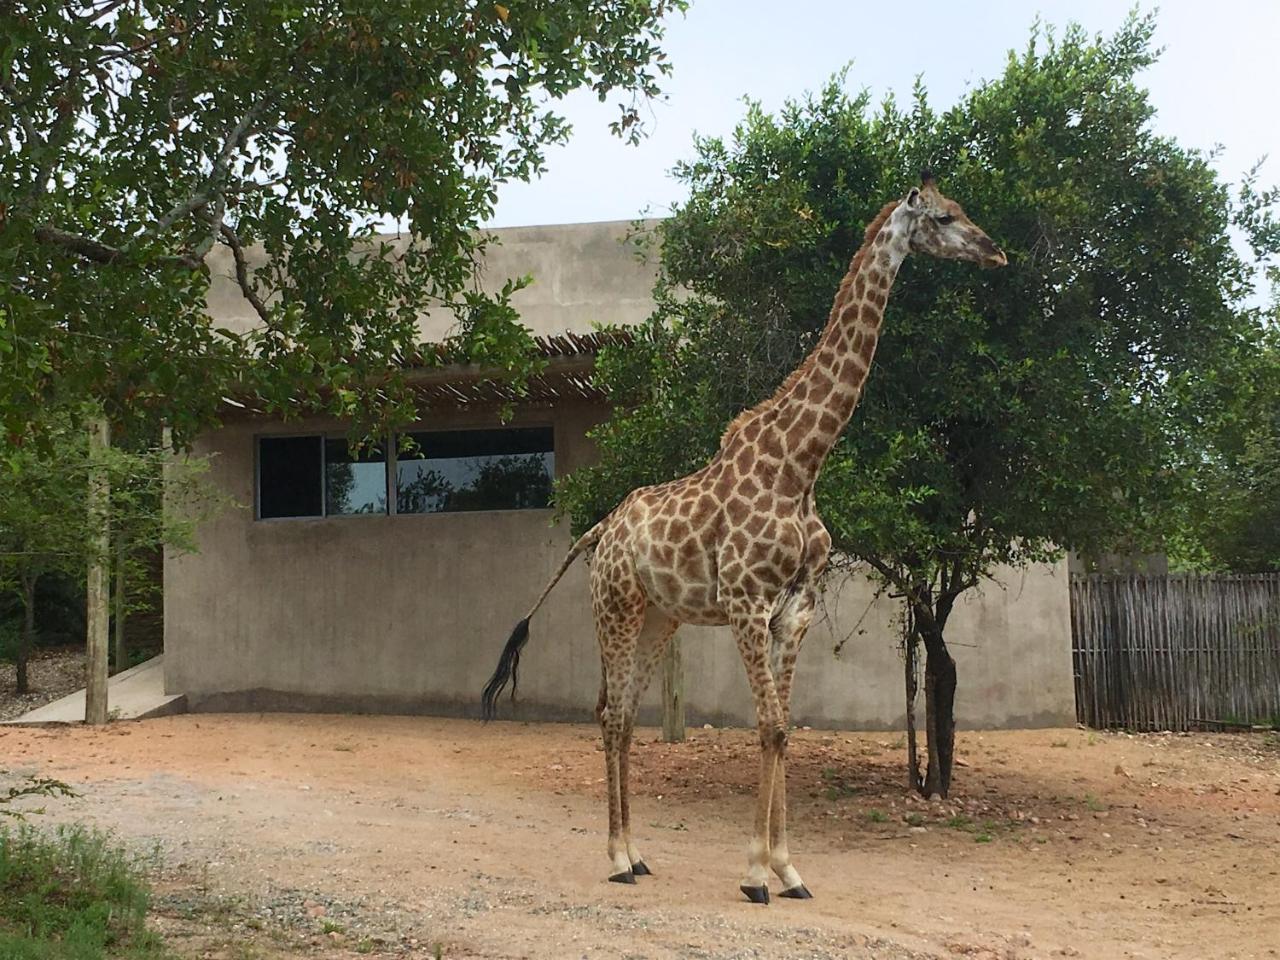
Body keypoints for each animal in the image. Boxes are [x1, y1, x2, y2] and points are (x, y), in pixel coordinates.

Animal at [483, 171, 1003, 901]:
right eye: (946, 217)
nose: (996, 253)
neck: (801, 464)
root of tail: (599, 531)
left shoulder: (794, 610)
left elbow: (782, 730)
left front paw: (788, 870)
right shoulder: (746, 604)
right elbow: (770, 724)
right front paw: (757, 873)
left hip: (659, 618)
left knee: (621, 715)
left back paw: (637, 854)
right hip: (614, 609)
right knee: (611, 715)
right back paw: (616, 859)